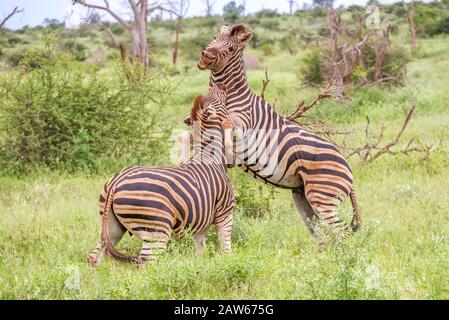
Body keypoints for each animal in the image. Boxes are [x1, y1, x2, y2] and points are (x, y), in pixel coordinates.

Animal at [86, 84, 234, 266]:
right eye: (221, 99)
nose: (220, 85)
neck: (209, 155)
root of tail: (116, 182)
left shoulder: (199, 225)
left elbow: (200, 251)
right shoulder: (225, 213)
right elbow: (226, 248)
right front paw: (229, 264)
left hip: (110, 226)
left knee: (95, 256)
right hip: (156, 230)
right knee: (146, 263)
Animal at [193, 24, 360, 245]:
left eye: (230, 49)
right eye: (214, 37)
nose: (205, 56)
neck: (228, 96)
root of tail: (348, 168)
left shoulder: (243, 123)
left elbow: (225, 124)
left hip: (323, 196)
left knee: (343, 233)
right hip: (304, 198)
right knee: (321, 234)